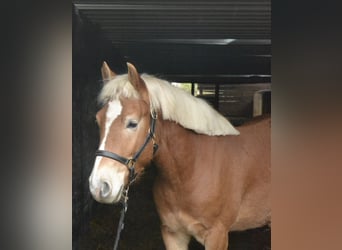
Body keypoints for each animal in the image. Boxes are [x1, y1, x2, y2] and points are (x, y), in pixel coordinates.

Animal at [89, 61, 272, 249]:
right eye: (98, 120)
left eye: (132, 123)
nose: (98, 186)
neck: (191, 169)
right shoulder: (172, 233)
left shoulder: (217, 236)